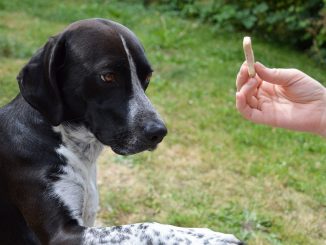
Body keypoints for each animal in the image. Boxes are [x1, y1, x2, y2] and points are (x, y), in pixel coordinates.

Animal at [0, 18, 242, 244]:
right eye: (107, 76)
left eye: (147, 77)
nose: (159, 132)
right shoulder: (61, 234)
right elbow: (147, 226)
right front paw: (209, 237)